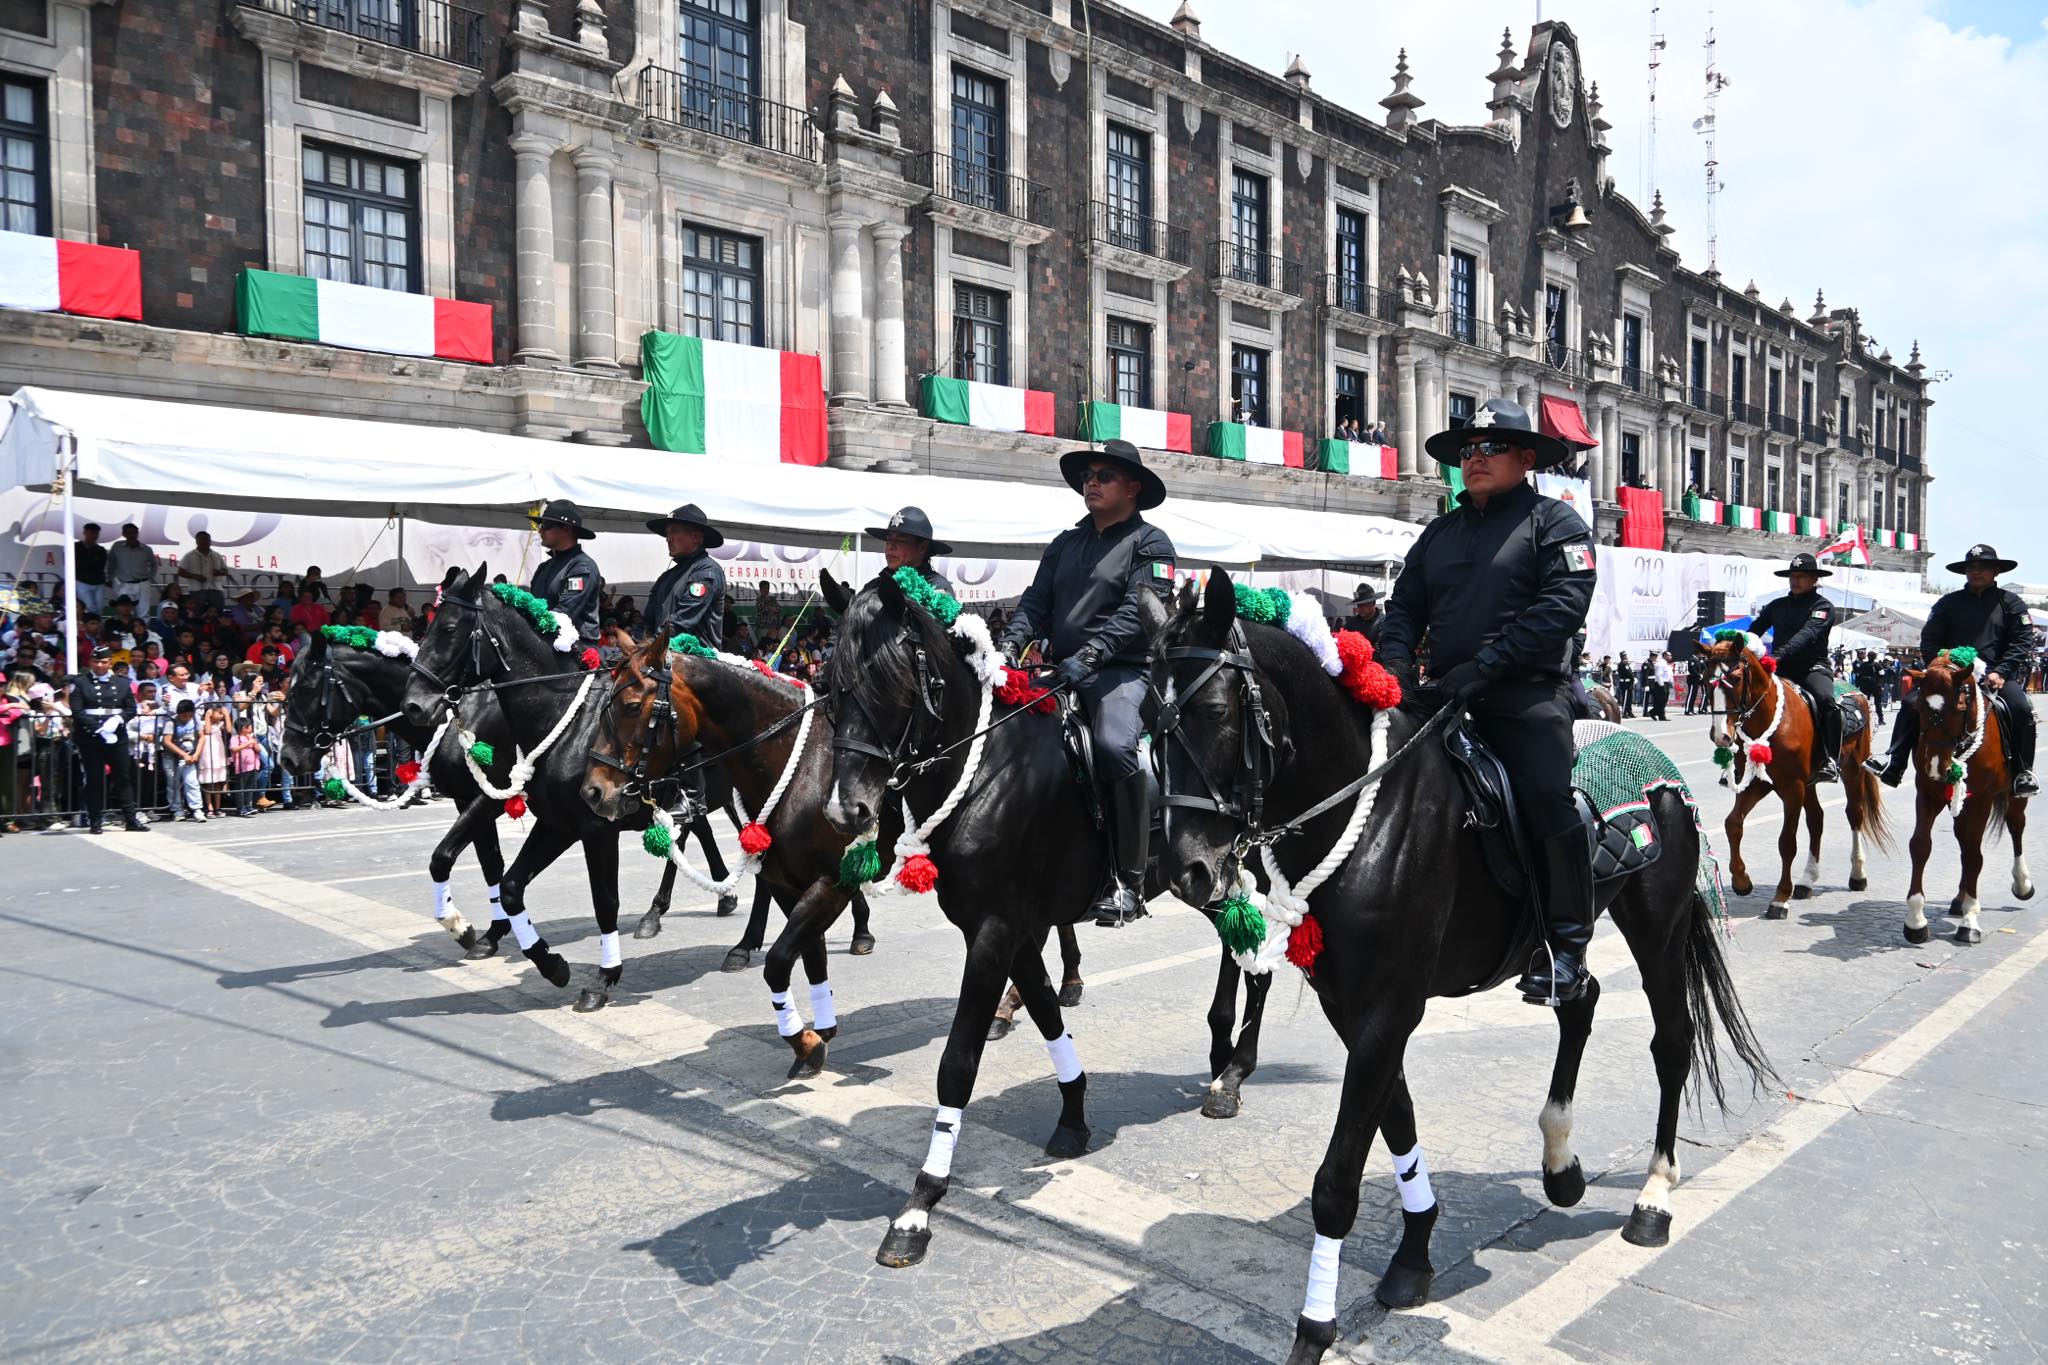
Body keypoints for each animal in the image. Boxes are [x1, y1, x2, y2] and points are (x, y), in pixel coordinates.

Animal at [819, 568, 1261, 1268]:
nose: (847, 811)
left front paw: (919, 1205)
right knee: (1238, 941)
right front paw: (1074, 1117)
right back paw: (1222, 1053)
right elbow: (1049, 1013)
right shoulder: (1006, 926)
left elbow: (958, 1063)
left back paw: (1235, 1069)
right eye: (833, 688)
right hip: (1208, 873)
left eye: (888, 684)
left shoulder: (996, 930)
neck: (988, 771)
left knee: (1261, 949)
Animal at [1155, 577, 1777, 1365]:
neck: (1369, 810)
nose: (1186, 870)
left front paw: (1314, 1331)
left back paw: (1652, 1197)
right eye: (1149, 719)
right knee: (1580, 1000)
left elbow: (1338, 1180)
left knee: (1671, 1040)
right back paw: (1560, 1165)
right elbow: (1396, 1122)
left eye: (1213, 712)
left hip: (1657, 928)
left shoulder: (1388, 1007)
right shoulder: (1355, 1006)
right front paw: (1414, 1253)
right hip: (1561, 944)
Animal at [1695, 638, 1884, 916]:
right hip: (1809, 783)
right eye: (1706, 679)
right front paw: (1741, 880)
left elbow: (1787, 842)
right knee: (1816, 819)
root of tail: (1857, 692)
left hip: (1852, 770)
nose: (1721, 735)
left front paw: (1780, 897)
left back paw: (1857, 874)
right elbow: (1733, 824)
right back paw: (1806, 880)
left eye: (1736, 678)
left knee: (1854, 814)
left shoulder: (1792, 788)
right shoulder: (1759, 783)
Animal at [1900, 650, 2031, 941]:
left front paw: (1970, 920)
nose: (1937, 767)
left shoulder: (1982, 799)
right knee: (1963, 839)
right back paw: (1960, 899)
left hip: (2012, 796)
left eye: (1959, 708)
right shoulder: (1927, 793)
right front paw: (1915, 921)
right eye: (1919, 708)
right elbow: (1920, 845)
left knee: (2015, 826)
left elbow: (1974, 855)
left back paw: (2022, 883)